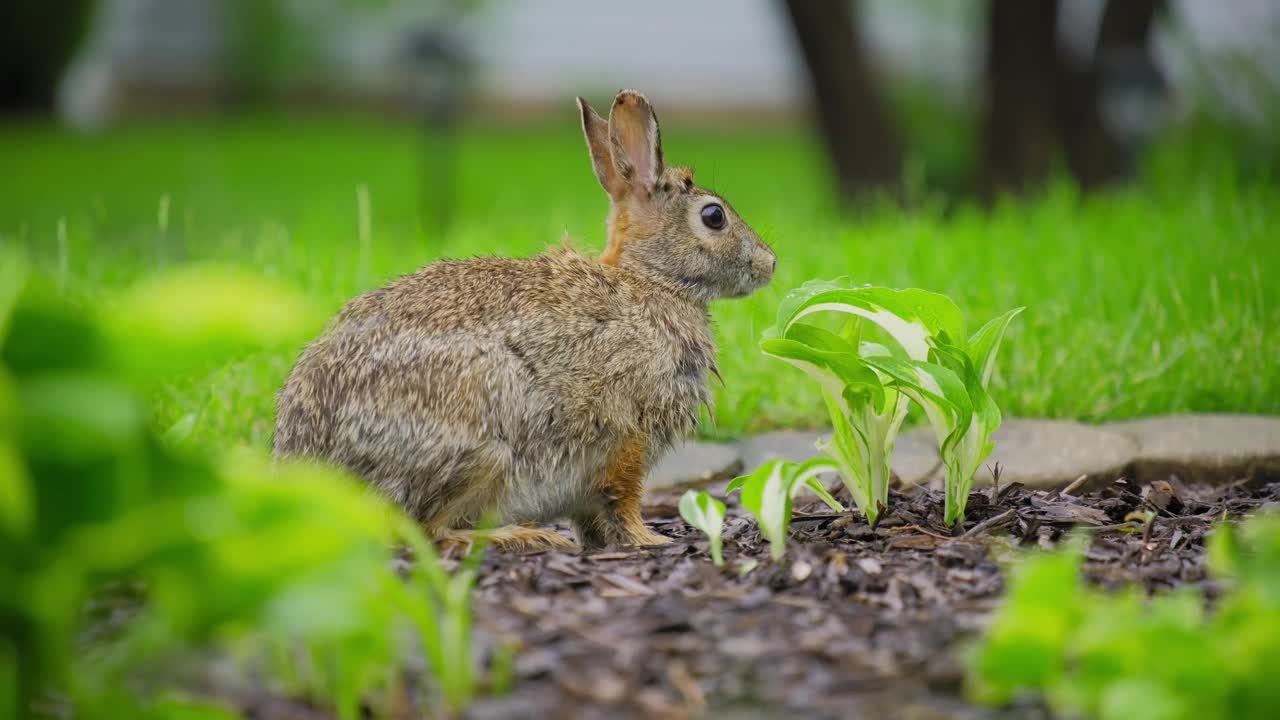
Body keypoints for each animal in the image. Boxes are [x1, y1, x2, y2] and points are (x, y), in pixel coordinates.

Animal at [273, 89, 773, 548]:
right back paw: (525, 535)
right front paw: (650, 540)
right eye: (714, 217)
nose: (770, 264)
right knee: (429, 529)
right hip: (483, 447)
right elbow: (622, 499)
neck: (649, 280)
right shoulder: (627, 437)